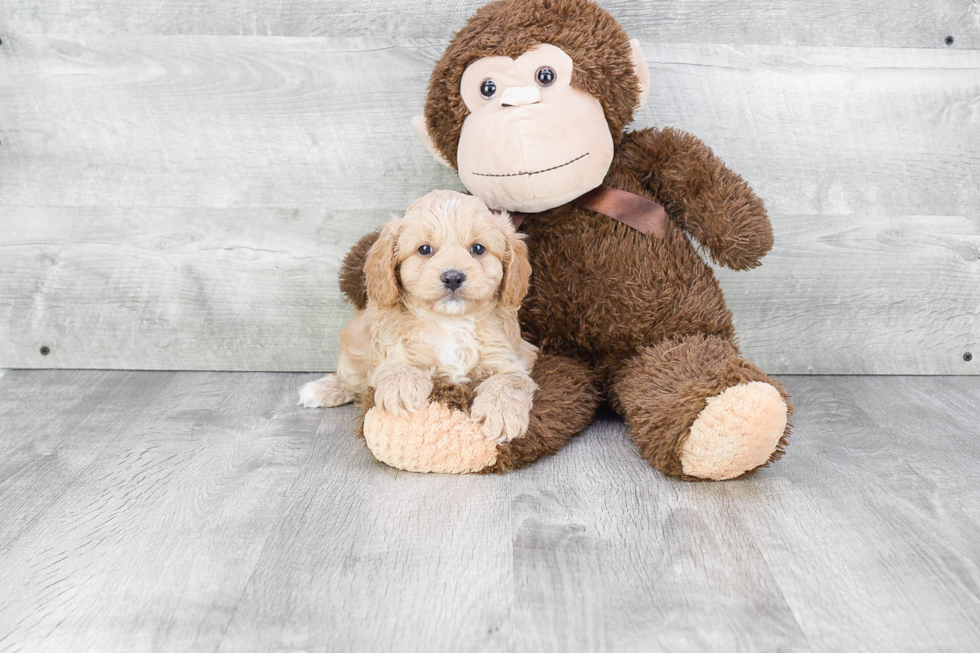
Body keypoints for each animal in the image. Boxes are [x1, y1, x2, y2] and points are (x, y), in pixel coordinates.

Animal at [302, 188, 540, 444]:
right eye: (425, 249)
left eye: (478, 249)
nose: (453, 277)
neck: (450, 323)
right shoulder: (390, 347)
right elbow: (399, 365)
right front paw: (401, 389)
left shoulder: (509, 357)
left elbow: (510, 381)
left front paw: (501, 414)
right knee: (349, 379)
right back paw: (320, 390)